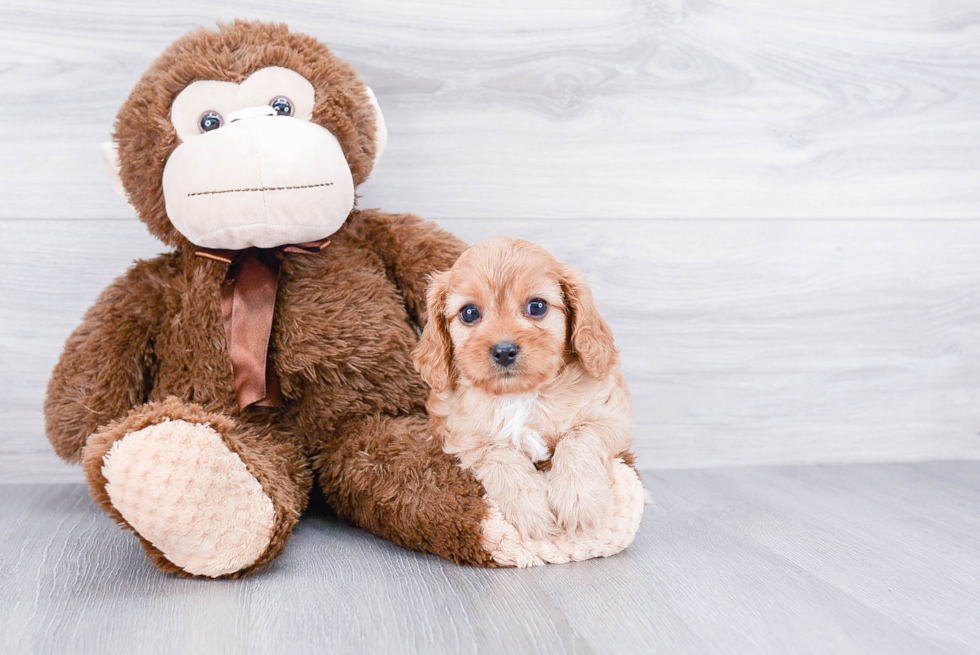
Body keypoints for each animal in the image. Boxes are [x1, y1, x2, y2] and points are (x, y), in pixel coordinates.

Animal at [414, 238, 636, 540]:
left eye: (537, 307)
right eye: (469, 313)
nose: (504, 351)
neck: (521, 395)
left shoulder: (611, 415)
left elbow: (578, 438)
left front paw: (579, 501)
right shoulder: (463, 438)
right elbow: (502, 458)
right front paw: (531, 511)